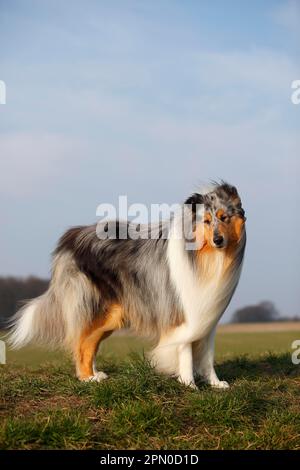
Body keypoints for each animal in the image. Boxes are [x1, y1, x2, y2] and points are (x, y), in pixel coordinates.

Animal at [7, 182, 246, 388]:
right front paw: (189, 385)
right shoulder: (181, 314)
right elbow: (186, 351)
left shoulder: (207, 317)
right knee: (81, 343)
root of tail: (71, 237)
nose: (218, 240)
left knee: (89, 342)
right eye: (206, 221)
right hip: (94, 307)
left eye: (224, 218)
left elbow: (207, 356)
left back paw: (95, 374)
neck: (204, 257)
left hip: (111, 315)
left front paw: (216, 384)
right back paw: (87, 379)